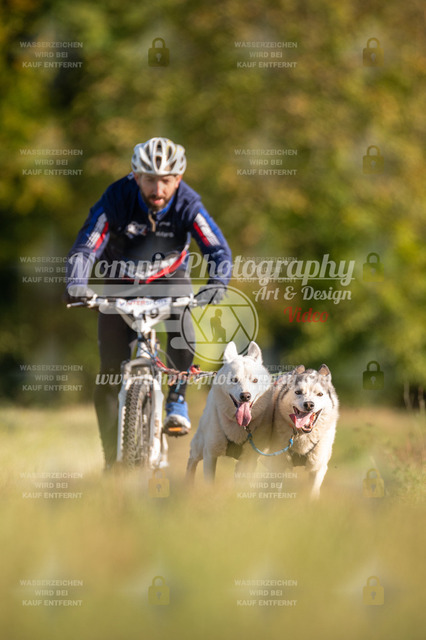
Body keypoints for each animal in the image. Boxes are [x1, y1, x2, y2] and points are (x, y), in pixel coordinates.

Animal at [186, 341, 273, 481]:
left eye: (255, 380)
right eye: (234, 380)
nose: (245, 396)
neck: (238, 425)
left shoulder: (248, 461)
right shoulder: (210, 454)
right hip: (199, 445)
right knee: (192, 459)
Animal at [270, 364, 339, 499]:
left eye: (320, 394)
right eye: (298, 392)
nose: (309, 404)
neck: (303, 435)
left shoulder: (318, 467)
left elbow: (312, 494)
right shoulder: (277, 466)